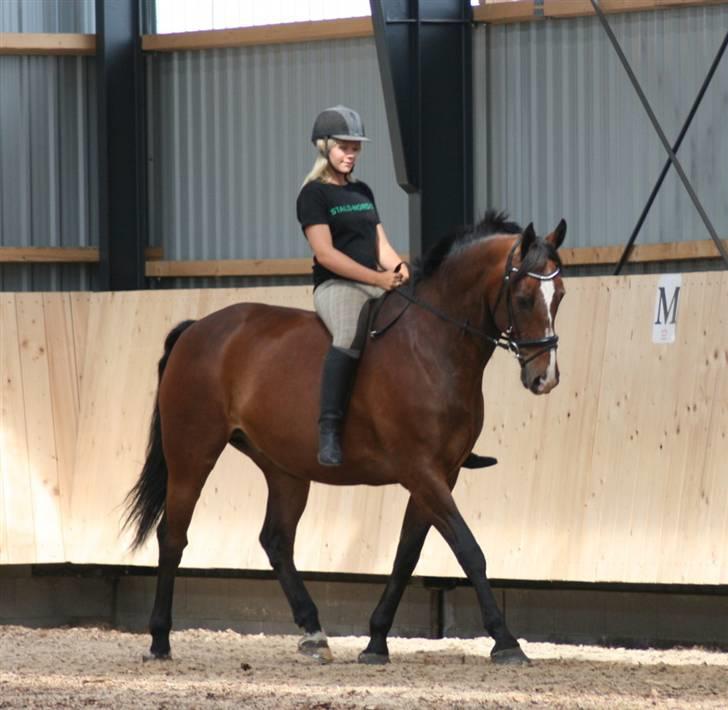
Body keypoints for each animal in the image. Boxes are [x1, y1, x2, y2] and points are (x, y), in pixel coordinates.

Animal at [123, 211, 568, 668]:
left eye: (560, 296)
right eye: (524, 298)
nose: (544, 378)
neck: (432, 344)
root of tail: (197, 328)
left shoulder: (441, 474)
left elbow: (407, 555)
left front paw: (376, 641)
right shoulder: (421, 470)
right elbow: (468, 548)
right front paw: (506, 642)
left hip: (284, 468)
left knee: (276, 540)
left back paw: (314, 633)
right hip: (193, 452)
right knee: (173, 535)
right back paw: (160, 640)